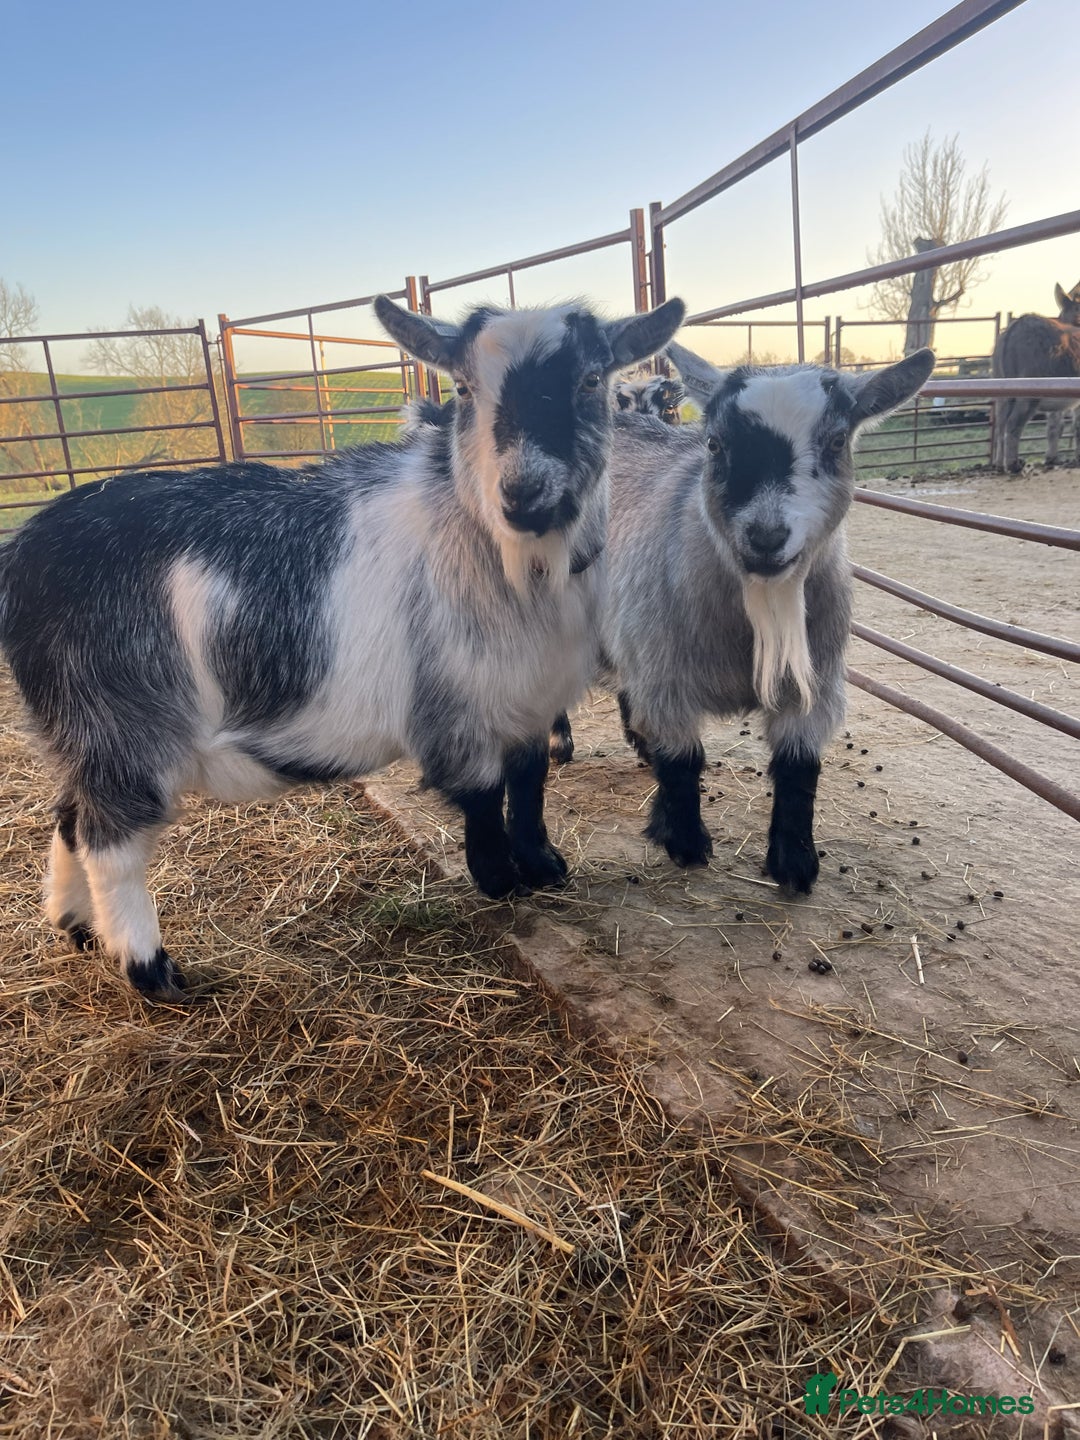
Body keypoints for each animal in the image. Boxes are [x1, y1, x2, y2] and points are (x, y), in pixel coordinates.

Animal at [0, 294, 684, 1000]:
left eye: (590, 380)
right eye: (465, 388)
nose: (524, 497)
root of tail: (20, 559)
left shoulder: (526, 699)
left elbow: (528, 784)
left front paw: (544, 863)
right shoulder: (457, 703)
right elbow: (482, 794)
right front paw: (498, 878)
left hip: (78, 732)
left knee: (68, 817)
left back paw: (75, 924)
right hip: (124, 728)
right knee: (108, 841)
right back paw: (152, 971)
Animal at [601, 340, 934, 892]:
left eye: (836, 441)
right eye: (715, 444)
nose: (765, 536)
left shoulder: (815, 683)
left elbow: (799, 769)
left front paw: (794, 864)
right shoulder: (664, 674)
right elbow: (683, 760)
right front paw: (685, 842)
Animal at [992, 282, 1080, 473]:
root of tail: (1014, 327)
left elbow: (1055, 427)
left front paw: (1052, 458)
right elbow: (1074, 426)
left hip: (1002, 393)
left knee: (1000, 425)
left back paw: (999, 464)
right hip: (1028, 393)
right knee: (1013, 424)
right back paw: (1013, 465)